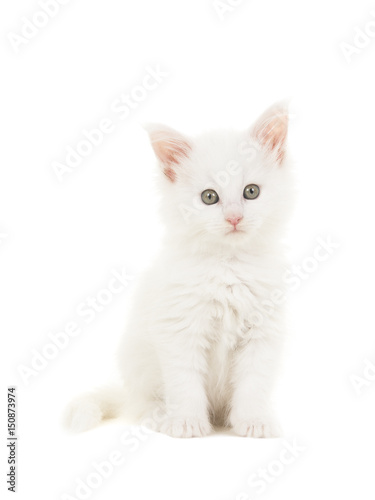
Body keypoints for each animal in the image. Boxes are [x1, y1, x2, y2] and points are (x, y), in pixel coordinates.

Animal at [67, 101, 296, 438]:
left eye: (251, 192)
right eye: (209, 197)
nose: (234, 218)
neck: (228, 265)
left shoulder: (263, 332)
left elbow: (253, 383)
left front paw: (254, 421)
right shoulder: (178, 330)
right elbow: (185, 383)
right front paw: (187, 422)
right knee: (140, 405)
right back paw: (162, 415)